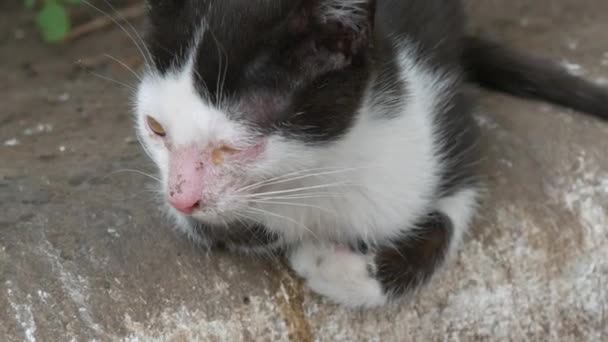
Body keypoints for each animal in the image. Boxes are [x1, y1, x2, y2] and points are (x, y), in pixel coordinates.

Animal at [134, 0, 608, 308]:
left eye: (237, 146)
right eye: (155, 128)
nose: (180, 196)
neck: (322, 165)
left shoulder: (448, 125)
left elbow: (441, 226)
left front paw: (330, 265)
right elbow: (228, 224)